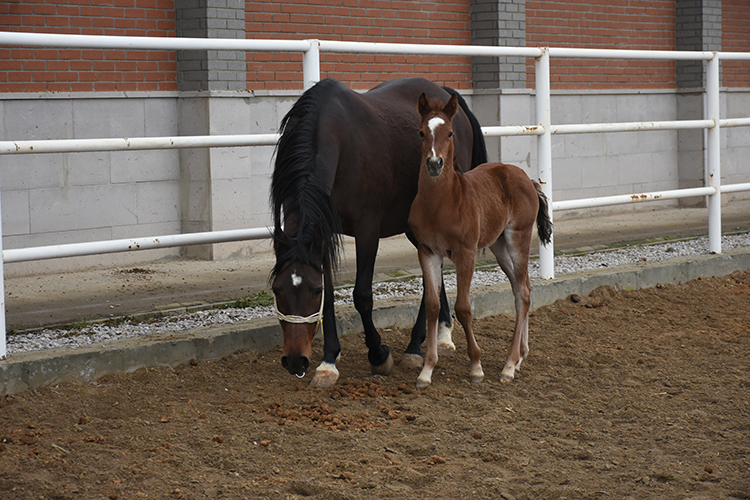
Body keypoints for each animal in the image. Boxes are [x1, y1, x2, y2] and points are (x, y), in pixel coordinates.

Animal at [412, 94, 552, 388]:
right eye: (421, 132)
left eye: (450, 133)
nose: (434, 163)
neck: (441, 202)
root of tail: (527, 177)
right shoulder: (427, 251)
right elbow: (432, 305)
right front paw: (427, 370)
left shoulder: (466, 253)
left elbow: (463, 307)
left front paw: (476, 366)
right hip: (499, 247)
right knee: (522, 288)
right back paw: (520, 356)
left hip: (518, 237)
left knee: (523, 293)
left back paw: (509, 365)